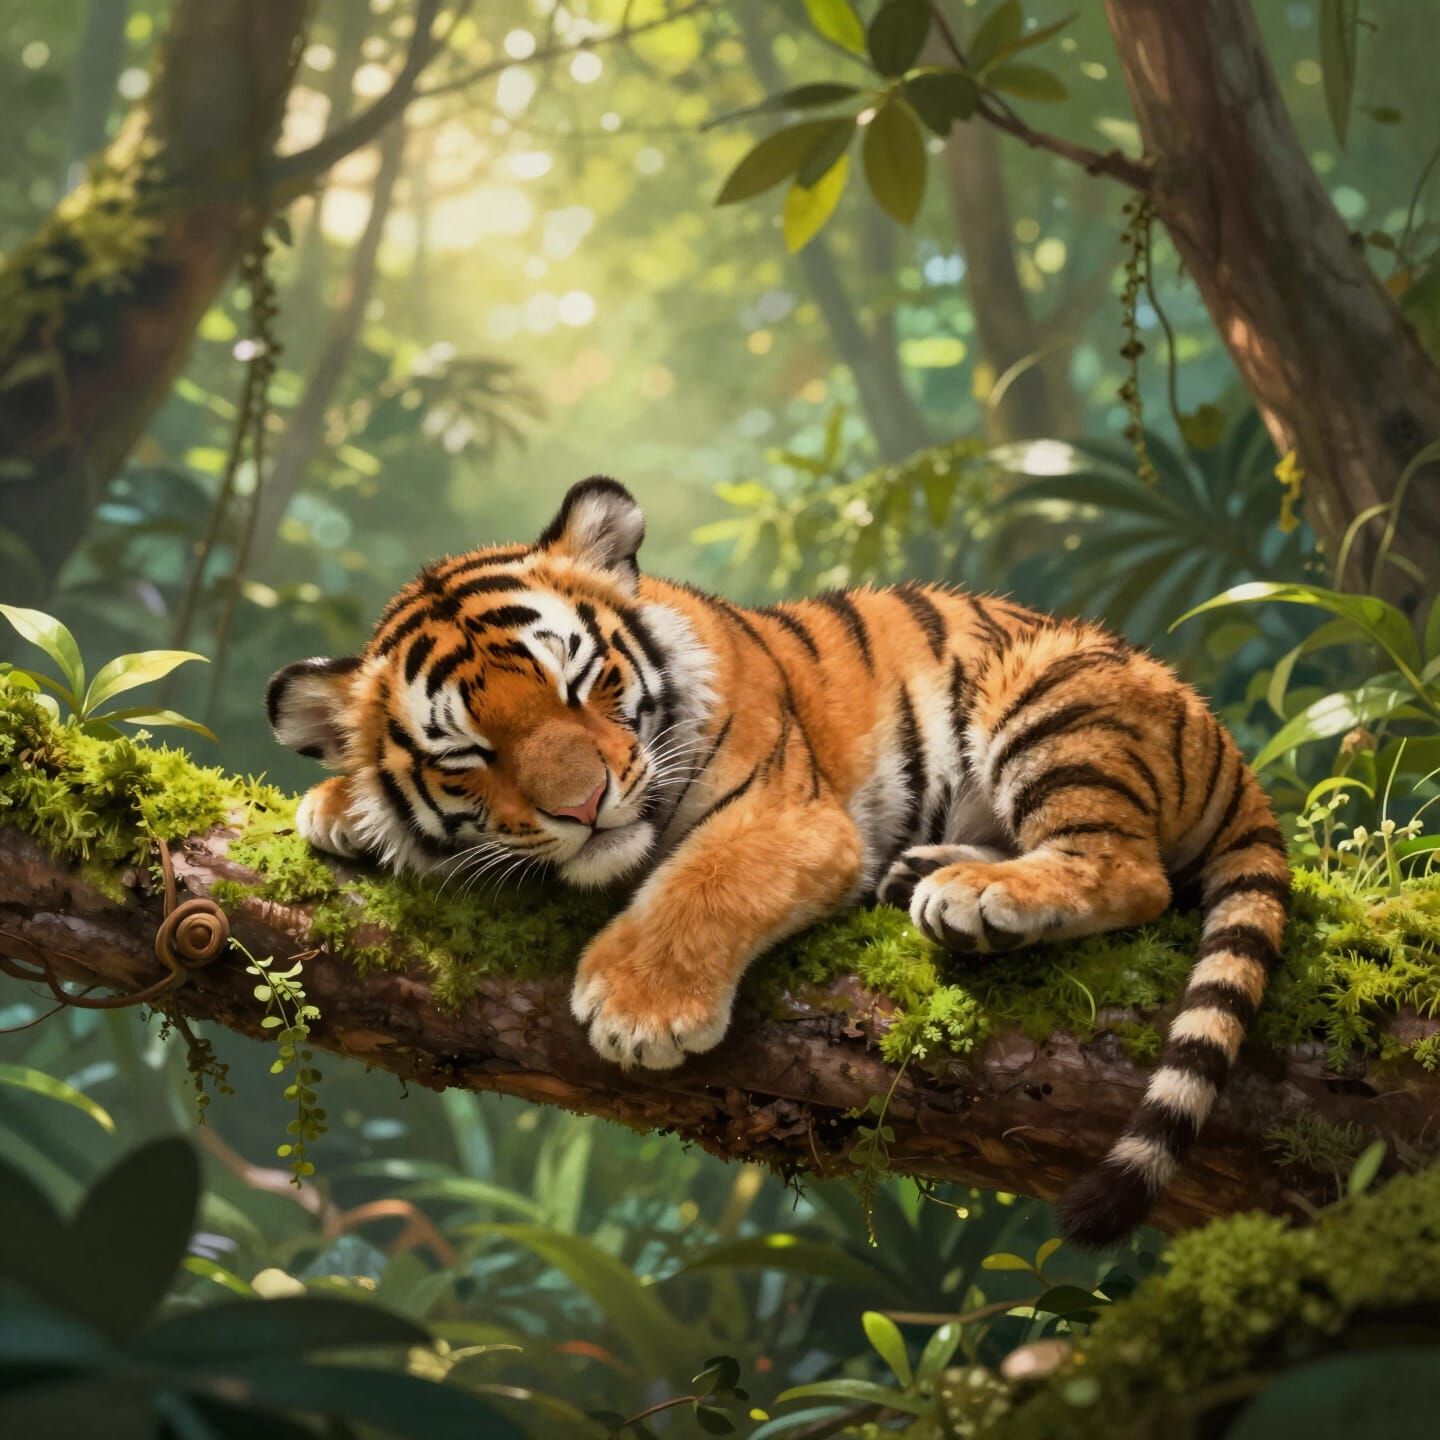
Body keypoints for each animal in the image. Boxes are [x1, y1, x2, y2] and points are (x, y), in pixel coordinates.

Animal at [266, 477, 1291, 1245]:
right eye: (468, 753)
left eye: (581, 680)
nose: (583, 807)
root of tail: (1222, 739)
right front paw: (342, 804)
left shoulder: (791, 817)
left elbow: (706, 879)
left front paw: (641, 1009)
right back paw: (929, 873)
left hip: (1049, 697)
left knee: (1130, 870)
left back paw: (975, 896)